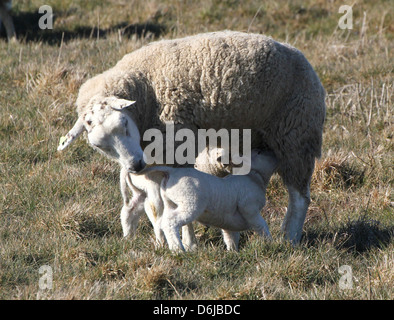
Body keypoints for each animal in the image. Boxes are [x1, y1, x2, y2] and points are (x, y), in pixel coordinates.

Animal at [139, 149, 278, 251]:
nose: (274, 153)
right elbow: (261, 226)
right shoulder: (249, 208)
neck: (254, 176)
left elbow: (231, 238)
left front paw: (233, 253)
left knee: (163, 221)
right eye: (259, 152)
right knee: (169, 223)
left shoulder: (230, 223)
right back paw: (178, 249)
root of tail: (171, 172)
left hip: (171, 203)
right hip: (190, 204)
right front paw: (271, 244)